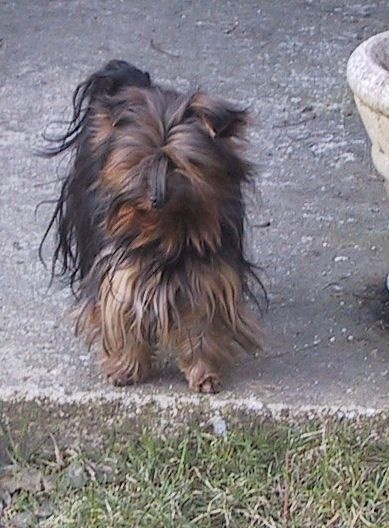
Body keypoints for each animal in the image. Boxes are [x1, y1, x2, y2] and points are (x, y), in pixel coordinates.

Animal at [41, 60, 262, 392]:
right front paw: (126, 368)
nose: (157, 198)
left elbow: (202, 325)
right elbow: (121, 312)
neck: (168, 233)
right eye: (138, 162)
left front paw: (204, 373)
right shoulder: (120, 270)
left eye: (181, 165)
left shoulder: (206, 277)